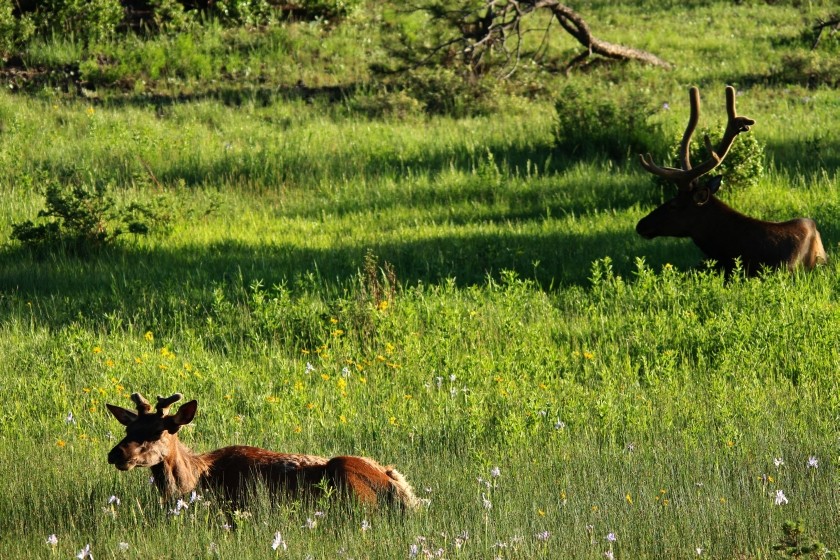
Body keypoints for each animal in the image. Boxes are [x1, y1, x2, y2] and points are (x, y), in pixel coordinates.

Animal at [106, 394, 420, 512]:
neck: (193, 481)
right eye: (128, 428)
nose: (116, 454)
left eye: (157, 431)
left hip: (347, 478)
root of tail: (400, 488)